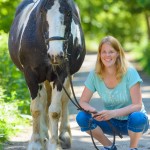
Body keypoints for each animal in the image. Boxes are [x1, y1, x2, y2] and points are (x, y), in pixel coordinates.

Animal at [8, 0, 85, 149]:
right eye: (43, 12)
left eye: (68, 13)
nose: (56, 55)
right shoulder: (30, 75)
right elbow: (36, 108)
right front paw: (36, 142)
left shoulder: (61, 74)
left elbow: (54, 111)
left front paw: (54, 144)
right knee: (43, 99)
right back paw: (43, 135)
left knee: (64, 100)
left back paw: (64, 136)